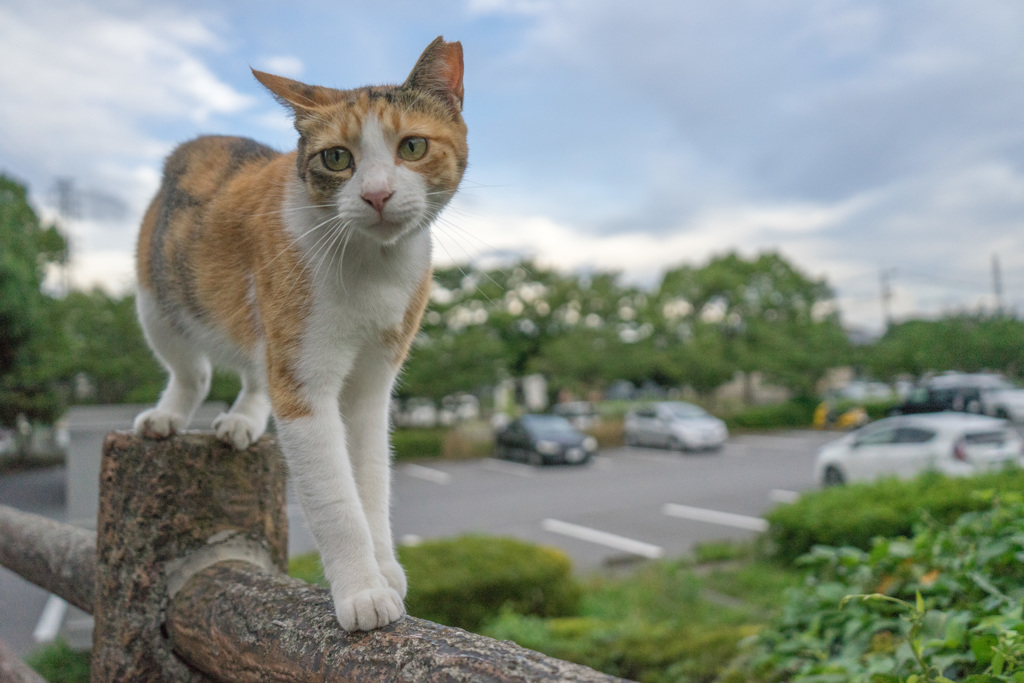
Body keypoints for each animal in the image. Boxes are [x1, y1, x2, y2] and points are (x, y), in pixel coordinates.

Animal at [133, 37, 468, 634]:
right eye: (336, 158)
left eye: (412, 146)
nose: (377, 195)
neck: (373, 270)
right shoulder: (305, 384)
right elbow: (337, 500)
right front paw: (363, 591)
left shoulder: (371, 387)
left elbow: (371, 482)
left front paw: (384, 568)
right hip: (159, 296)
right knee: (191, 371)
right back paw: (169, 416)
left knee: (254, 373)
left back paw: (242, 420)